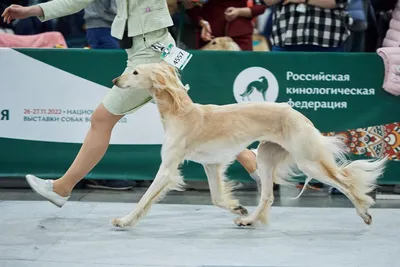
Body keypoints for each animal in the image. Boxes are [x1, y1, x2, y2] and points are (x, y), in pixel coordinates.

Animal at [111, 61, 386, 229]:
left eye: (135, 73)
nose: (115, 80)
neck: (181, 112)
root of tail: (299, 115)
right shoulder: (211, 164)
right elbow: (216, 199)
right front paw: (238, 208)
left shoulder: (168, 168)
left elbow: (145, 198)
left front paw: (124, 220)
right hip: (265, 156)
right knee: (267, 196)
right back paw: (250, 220)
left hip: (308, 162)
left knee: (345, 182)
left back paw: (364, 212)